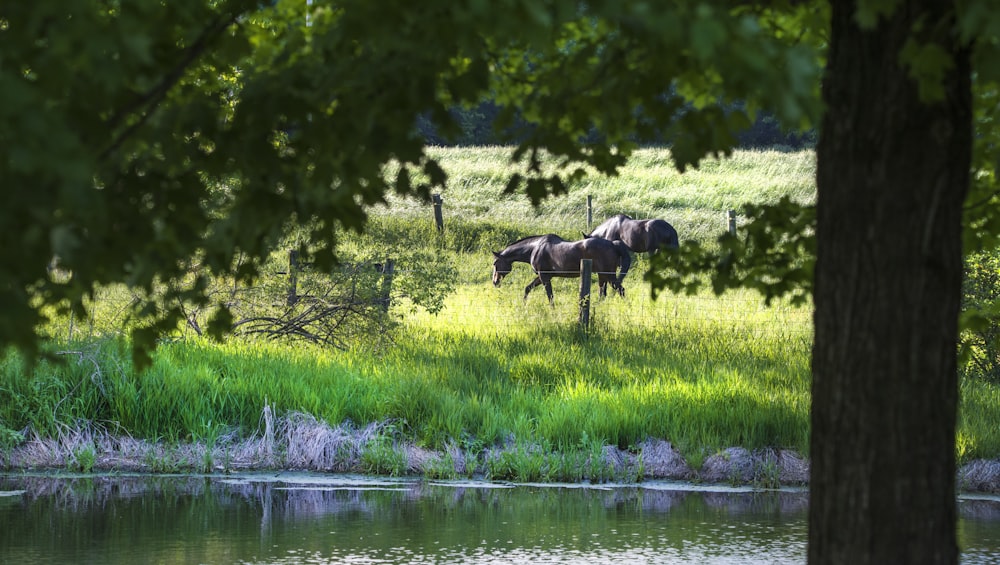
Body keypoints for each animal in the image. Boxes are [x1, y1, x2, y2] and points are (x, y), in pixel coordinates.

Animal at [492, 234, 632, 304]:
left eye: (495, 263)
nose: (495, 282)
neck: (535, 248)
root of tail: (613, 244)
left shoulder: (544, 277)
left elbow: (550, 296)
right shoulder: (543, 276)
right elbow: (528, 288)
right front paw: (524, 304)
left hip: (608, 275)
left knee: (621, 290)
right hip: (602, 275)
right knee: (603, 294)